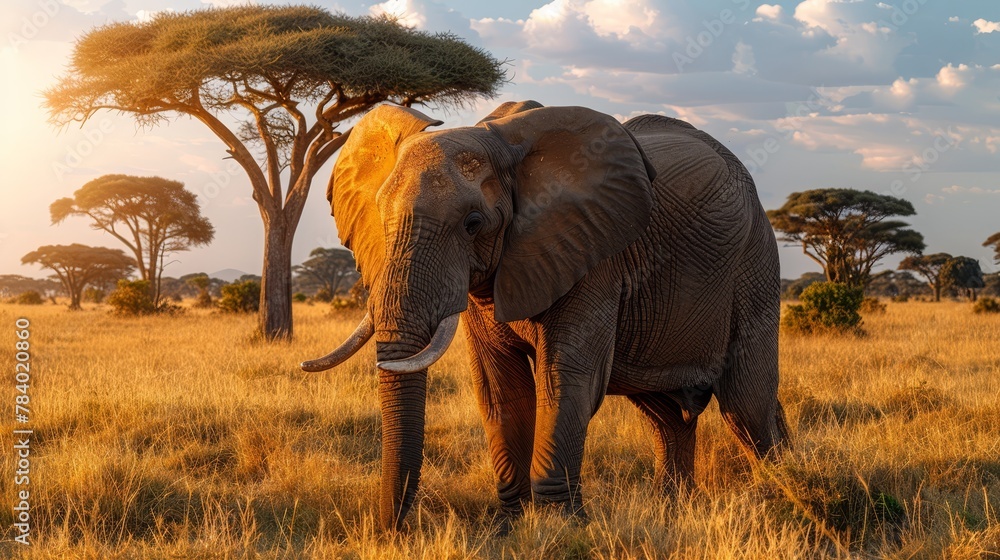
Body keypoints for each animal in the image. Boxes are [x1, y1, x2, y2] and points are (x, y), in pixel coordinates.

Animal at [302, 100, 789, 531]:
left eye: (473, 224)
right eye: (379, 216)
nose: (392, 532)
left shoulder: (591, 251)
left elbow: (565, 380)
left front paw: (560, 529)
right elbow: (502, 388)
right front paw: (509, 527)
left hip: (755, 264)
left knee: (746, 405)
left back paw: (785, 496)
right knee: (669, 416)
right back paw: (676, 512)